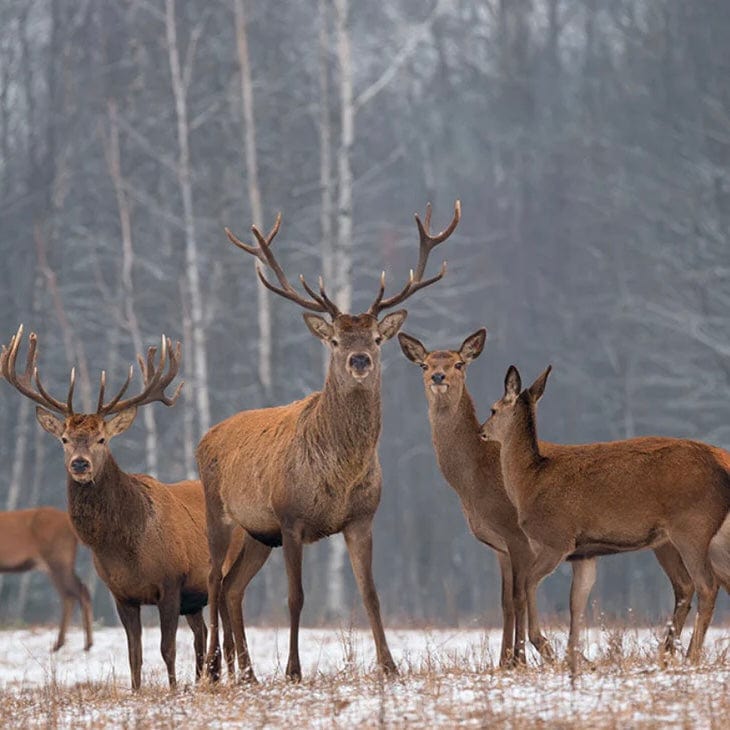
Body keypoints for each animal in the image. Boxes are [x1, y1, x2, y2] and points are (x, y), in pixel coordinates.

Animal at [0, 506, 94, 648]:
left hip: (59, 557)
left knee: (79, 591)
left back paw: (86, 644)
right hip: (53, 565)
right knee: (69, 595)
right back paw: (61, 643)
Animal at [198, 200, 460, 684]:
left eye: (375, 337)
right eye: (336, 339)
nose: (359, 359)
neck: (339, 475)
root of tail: (206, 436)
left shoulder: (361, 518)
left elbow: (371, 594)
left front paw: (390, 666)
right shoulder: (290, 518)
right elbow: (295, 597)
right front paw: (293, 670)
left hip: (257, 532)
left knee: (231, 588)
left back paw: (247, 672)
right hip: (219, 512)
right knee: (212, 579)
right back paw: (210, 669)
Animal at [396, 330, 692, 664]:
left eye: (459, 363)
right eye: (423, 364)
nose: (438, 376)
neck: (475, 481)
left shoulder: (519, 536)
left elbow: (518, 596)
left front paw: (520, 660)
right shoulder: (499, 546)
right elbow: (505, 601)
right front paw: (504, 662)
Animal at [478, 364, 728, 672]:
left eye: (492, 410)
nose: (481, 431)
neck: (529, 482)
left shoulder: (556, 538)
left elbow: (528, 583)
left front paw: (544, 645)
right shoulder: (585, 553)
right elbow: (576, 601)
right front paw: (574, 657)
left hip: (692, 528)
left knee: (707, 585)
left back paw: (691, 656)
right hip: (686, 538)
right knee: (693, 585)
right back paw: (671, 653)